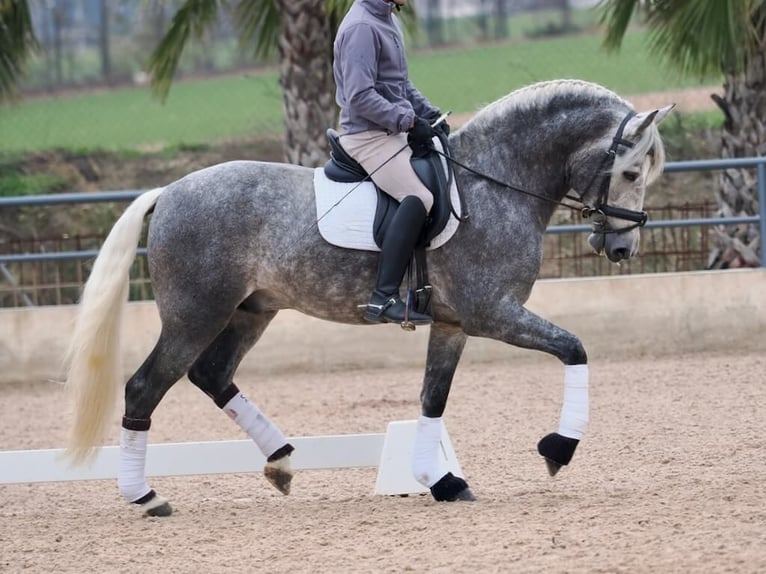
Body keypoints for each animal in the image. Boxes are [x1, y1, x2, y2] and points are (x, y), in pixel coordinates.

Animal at [63, 77, 672, 516]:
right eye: (630, 171)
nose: (623, 248)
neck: (494, 182)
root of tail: (169, 192)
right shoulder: (493, 314)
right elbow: (574, 348)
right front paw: (557, 451)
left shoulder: (452, 324)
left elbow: (432, 400)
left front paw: (441, 481)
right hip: (196, 314)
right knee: (145, 388)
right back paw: (145, 496)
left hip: (251, 311)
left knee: (212, 376)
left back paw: (282, 462)